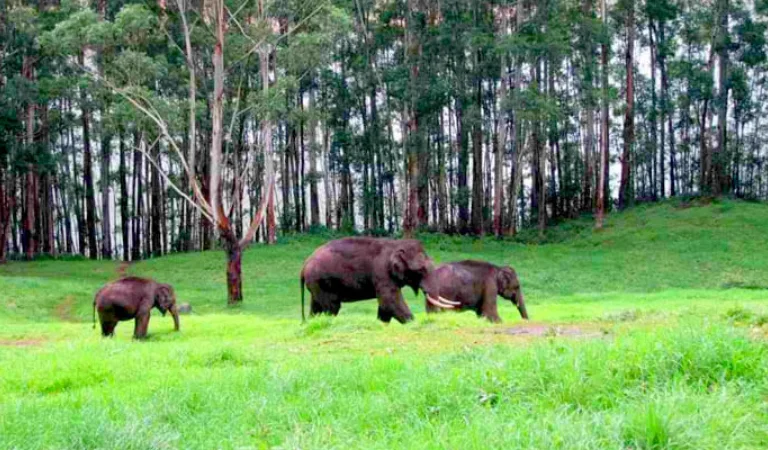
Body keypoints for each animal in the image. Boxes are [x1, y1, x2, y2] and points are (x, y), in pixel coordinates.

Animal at [300, 237, 458, 324]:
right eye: (420, 271)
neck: (396, 245)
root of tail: (304, 265)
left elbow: (385, 306)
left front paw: (381, 325)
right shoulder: (382, 273)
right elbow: (389, 301)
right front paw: (412, 323)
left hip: (316, 285)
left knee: (316, 307)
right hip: (323, 282)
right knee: (331, 307)